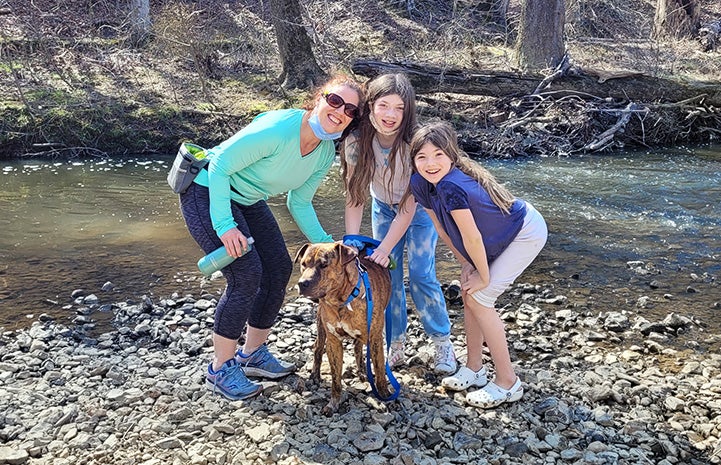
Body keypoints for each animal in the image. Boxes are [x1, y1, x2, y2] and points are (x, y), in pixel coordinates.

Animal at [292, 243, 390, 414]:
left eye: (324, 264)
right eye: (303, 264)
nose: (301, 283)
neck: (341, 301)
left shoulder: (375, 338)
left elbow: (379, 371)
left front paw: (384, 395)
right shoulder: (333, 341)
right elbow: (335, 378)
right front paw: (333, 403)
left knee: (358, 347)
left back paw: (362, 371)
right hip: (321, 327)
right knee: (318, 348)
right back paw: (315, 375)